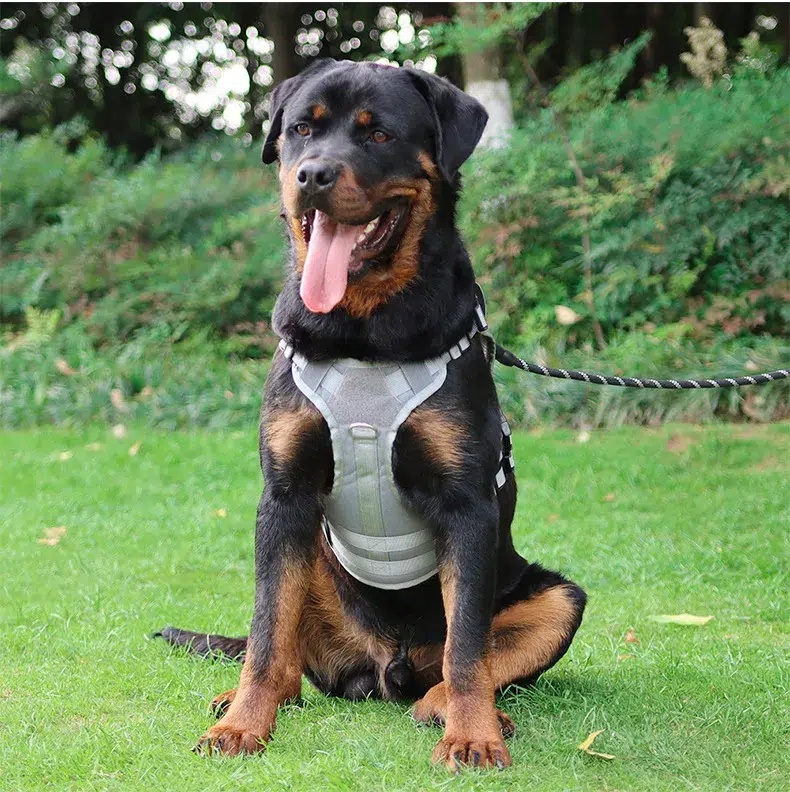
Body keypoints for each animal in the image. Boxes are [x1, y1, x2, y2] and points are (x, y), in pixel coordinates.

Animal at [158, 59, 586, 771]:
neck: (364, 335)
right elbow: (266, 631)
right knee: (282, 653)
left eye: (379, 134)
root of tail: (385, 666)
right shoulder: (283, 497)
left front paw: (473, 736)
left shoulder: (466, 506)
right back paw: (249, 697)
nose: (312, 175)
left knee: (469, 657)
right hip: (307, 554)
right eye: (302, 130)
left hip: (557, 598)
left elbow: (468, 646)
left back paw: (452, 706)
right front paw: (243, 726)